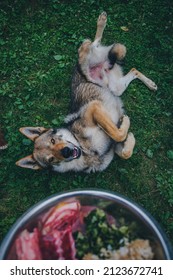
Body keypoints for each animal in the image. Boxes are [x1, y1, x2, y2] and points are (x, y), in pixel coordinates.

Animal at [15, 12, 157, 173]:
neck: (84, 149)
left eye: (53, 140)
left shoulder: (93, 108)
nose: (66, 151)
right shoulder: (114, 147)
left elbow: (116, 133)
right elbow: (125, 149)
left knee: (89, 44)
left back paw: (99, 23)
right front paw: (129, 135)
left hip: (88, 60)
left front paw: (125, 123)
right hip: (117, 87)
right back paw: (151, 84)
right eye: (51, 159)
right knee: (133, 70)